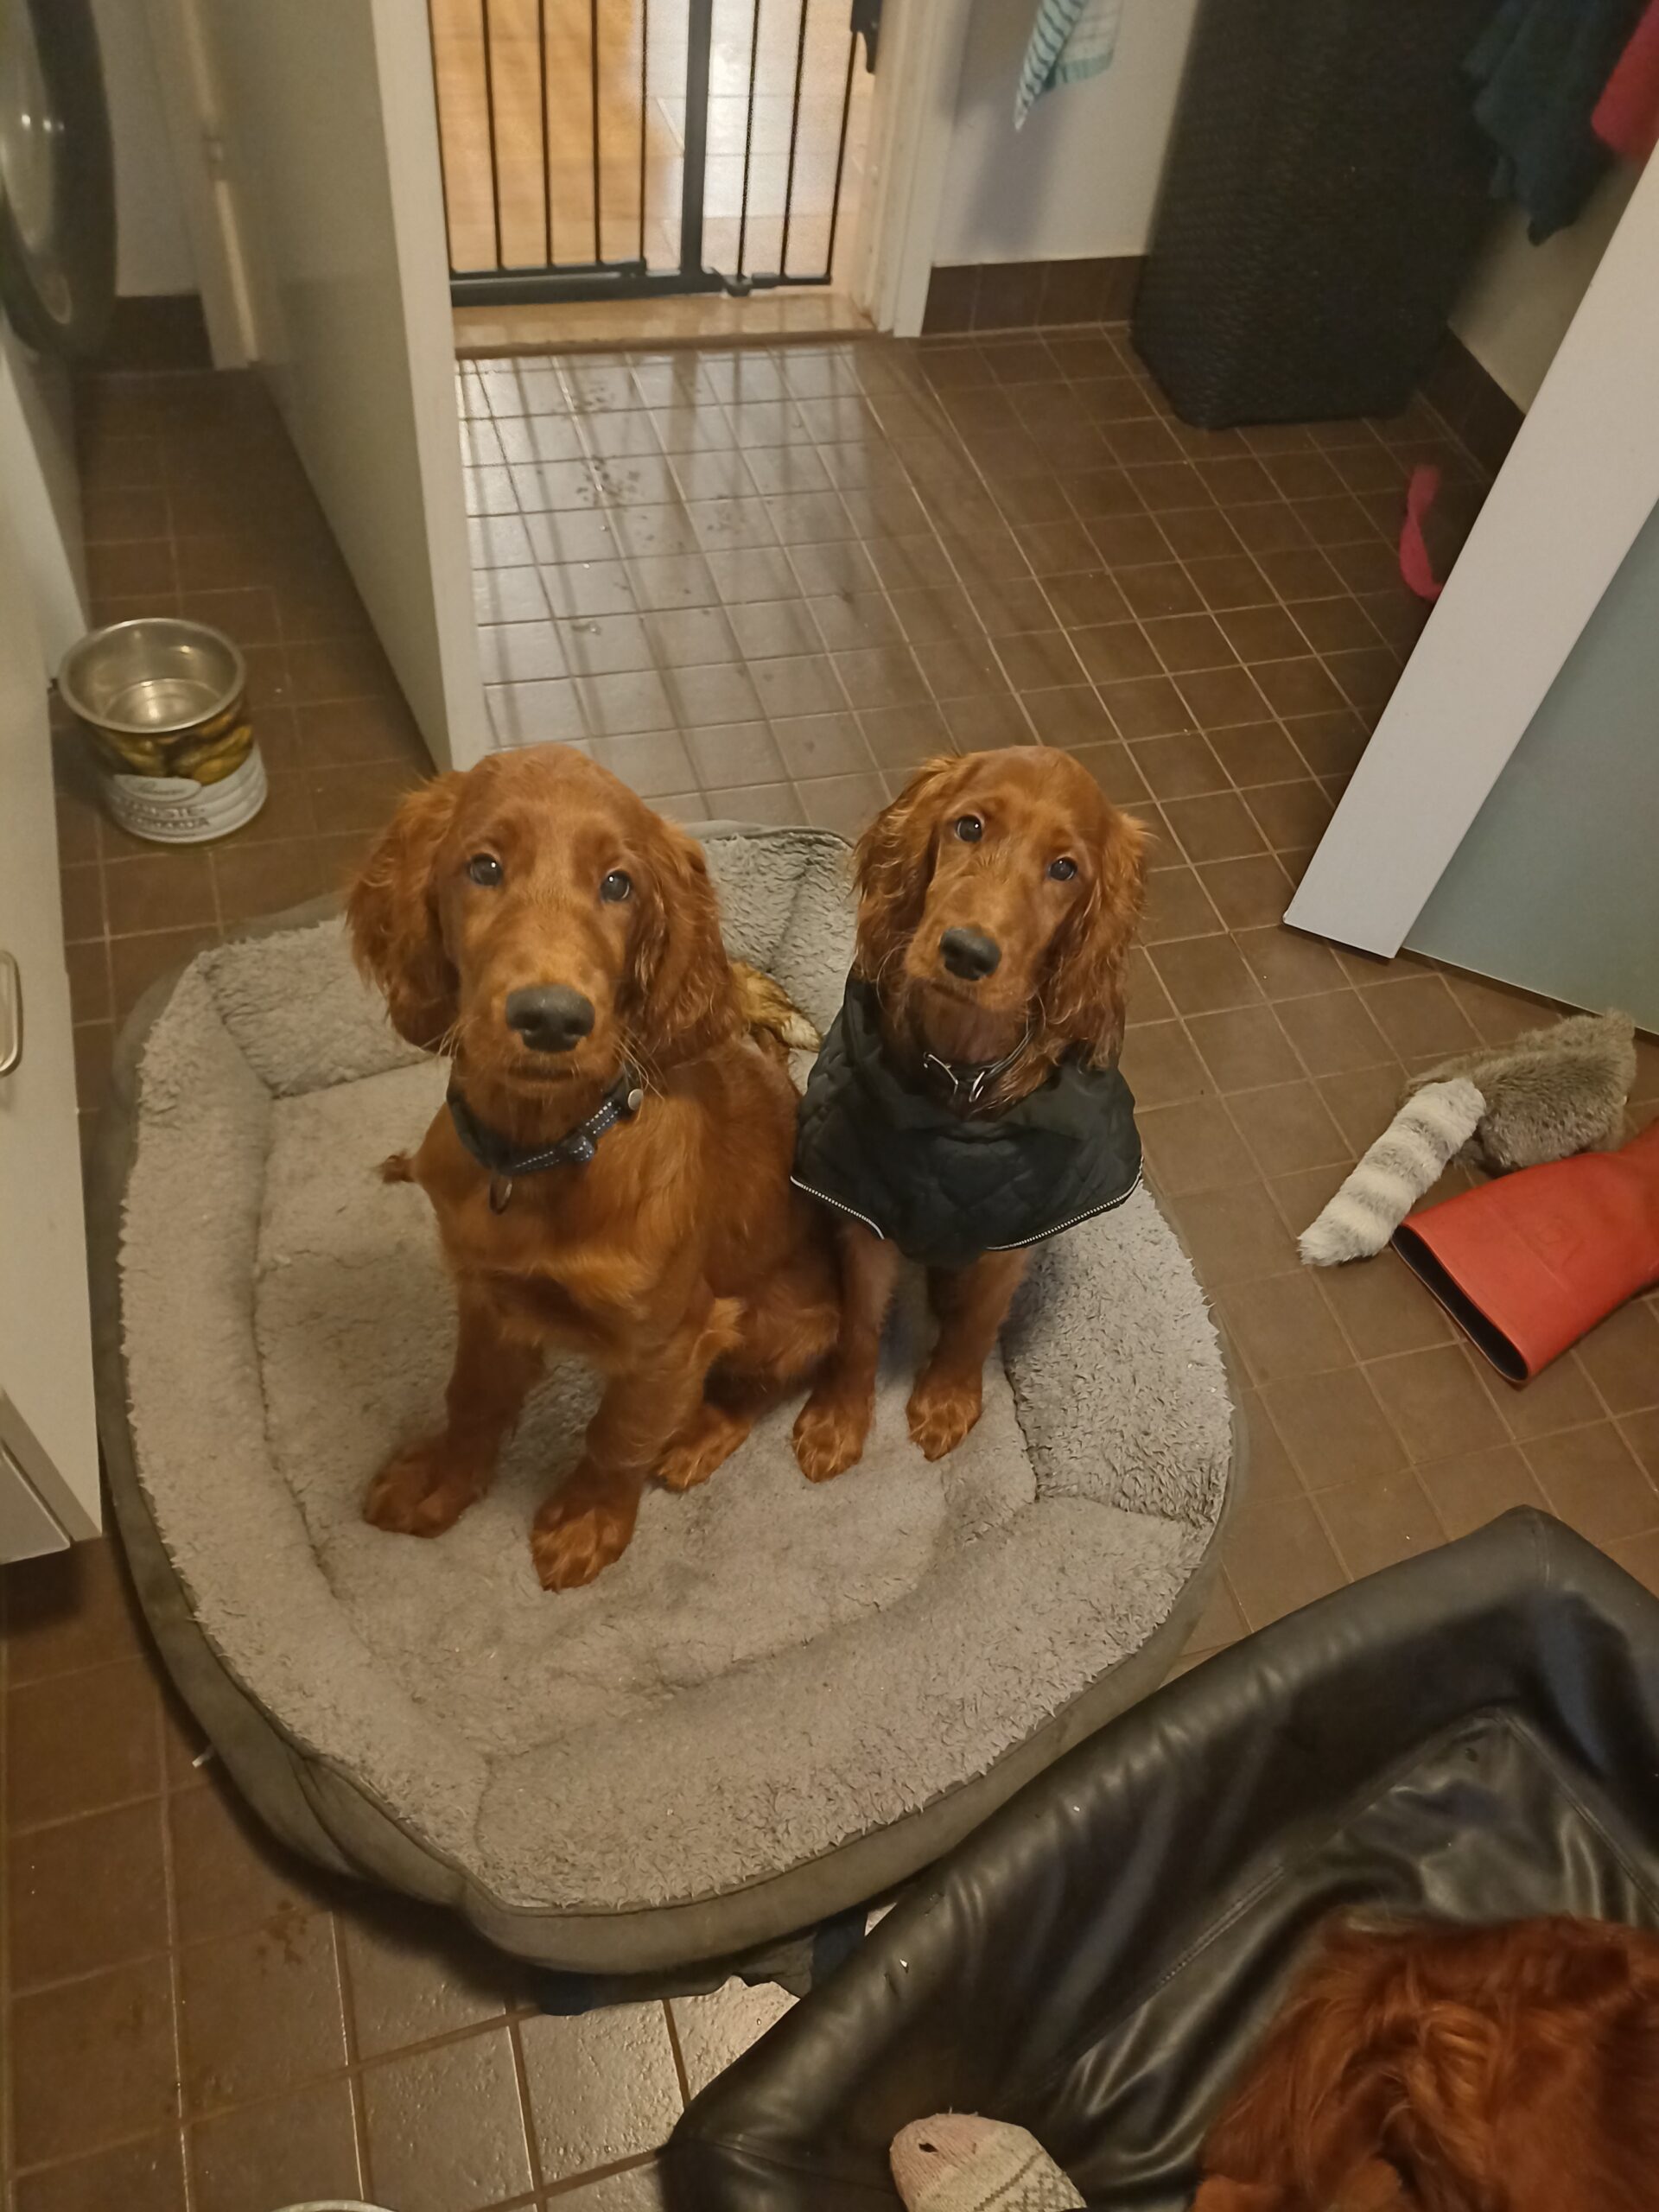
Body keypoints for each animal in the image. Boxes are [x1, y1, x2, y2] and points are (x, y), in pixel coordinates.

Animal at [348, 743, 839, 1590]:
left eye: (619, 885)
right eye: (483, 867)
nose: (551, 1019)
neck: (537, 1154)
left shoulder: (667, 1340)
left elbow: (618, 1436)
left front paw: (588, 1523)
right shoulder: (487, 1295)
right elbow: (470, 1395)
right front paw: (442, 1479)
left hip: (786, 1318)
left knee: (755, 1388)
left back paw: (698, 1437)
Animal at [790, 747, 1148, 1481]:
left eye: (1064, 869)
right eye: (969, 826)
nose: (966, 952)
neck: (960, 1076)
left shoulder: (1012, 1234)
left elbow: (978, 1322)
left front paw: (948, 1400)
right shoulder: (866, 1216)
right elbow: (859, 1323)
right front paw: (837, 1420)